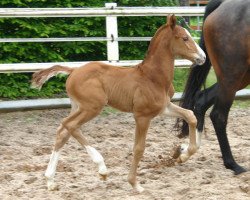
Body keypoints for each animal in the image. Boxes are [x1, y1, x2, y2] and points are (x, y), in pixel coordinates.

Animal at [31, 14, 205, 193]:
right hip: (92, 107)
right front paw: (135, 183)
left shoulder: (164, 107)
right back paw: (102, 168)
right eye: (185, 38)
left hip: (78, 107)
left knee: (63, 131)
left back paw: (50, 181)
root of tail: (73, 70)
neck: (152, 77)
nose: (203, 57)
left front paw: (184, 154)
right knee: (69, 125)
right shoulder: (142, 116)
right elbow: (139, 148)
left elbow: (190, 115)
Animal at [177, 0, 249, 174]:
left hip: (239, 77)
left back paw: (188, 151)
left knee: (201, 101)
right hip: (232, 76)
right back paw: (233, 164)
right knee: (218, 115)